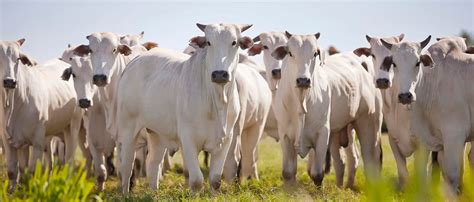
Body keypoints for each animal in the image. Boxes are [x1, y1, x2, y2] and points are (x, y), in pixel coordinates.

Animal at [0, 38, 83, 191]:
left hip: (73, 127)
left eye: (18, 58)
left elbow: (33, 171)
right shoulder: (9, 141)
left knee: (69, 161)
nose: (9, 81)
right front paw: (13, 191)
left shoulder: (37, 140)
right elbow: (15, 171)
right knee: (49, 164)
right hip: (48, 137)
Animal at [114, 23, 256, 193]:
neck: (217, 101)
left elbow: (215, 180)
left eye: (234, 42)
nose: (219, 74)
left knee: (152, 163)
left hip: (156, 132)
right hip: (127, 129)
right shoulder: (188, 139)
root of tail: (135, 61)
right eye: (209, 42)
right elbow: (196, 180)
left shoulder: (226, 139)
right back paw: (125, 193)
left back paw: (154, 191)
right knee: (126, 166)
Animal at [268, 32, 384, 186]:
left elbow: (317, 174)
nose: (303, 80)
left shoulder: (323, 133)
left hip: (369, 123)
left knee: (371, 159)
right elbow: (288, 173)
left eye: (315, 53)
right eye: (290, 53)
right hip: (340, 131)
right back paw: (343, 187)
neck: (301, 100)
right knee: (344, 161)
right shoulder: (285, 134)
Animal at [382, 36, 474, 193]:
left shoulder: (454, 136)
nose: (405, 96)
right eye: (394, 63)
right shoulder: (427, 144)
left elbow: (453, 177)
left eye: (417, 62)